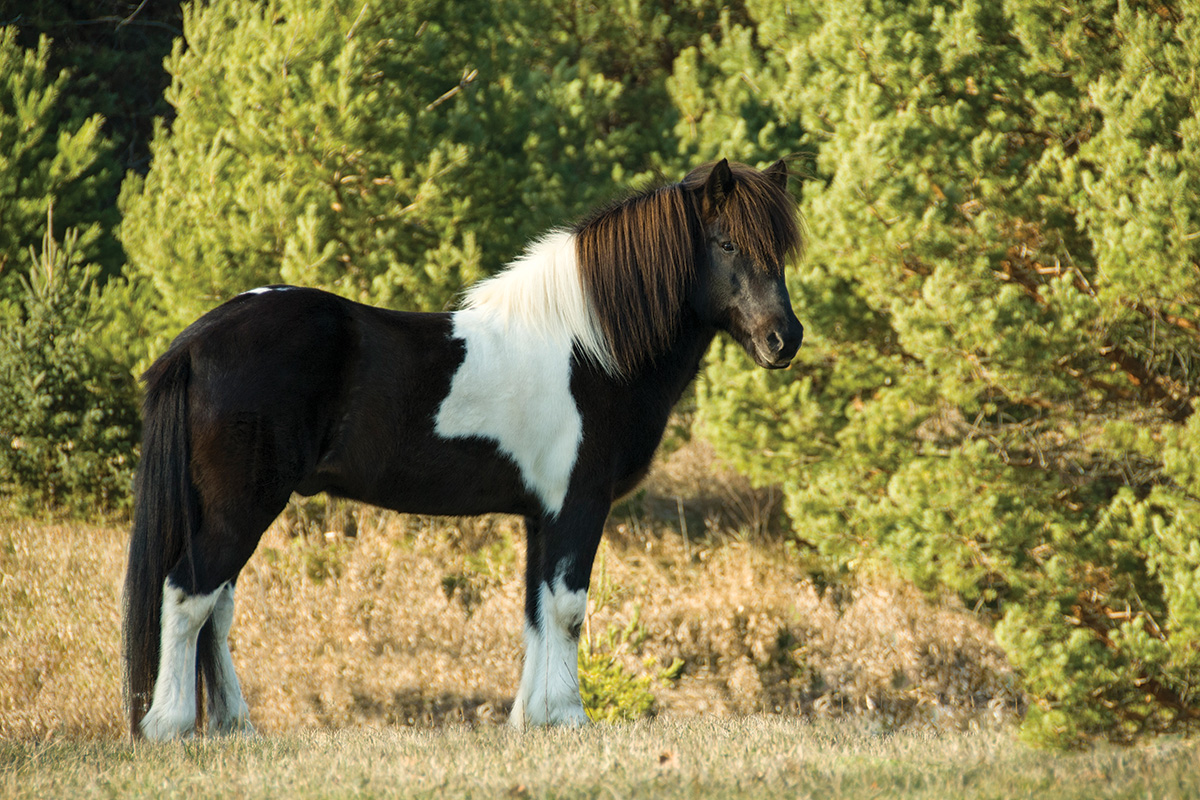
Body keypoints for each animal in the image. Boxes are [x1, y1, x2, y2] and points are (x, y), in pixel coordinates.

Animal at [121, 159, 801, 743]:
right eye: (727, 244)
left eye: (783, 252)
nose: (784, 339)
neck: (589, 350)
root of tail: (199, 338)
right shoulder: (579, 505)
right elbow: (568, 609)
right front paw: (569, 717)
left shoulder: (541, 515)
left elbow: (535, 612)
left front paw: (530, 722)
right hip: (242, 505)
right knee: (188, 597)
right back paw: (169, 726)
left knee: (216, 610)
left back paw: (236, 726)